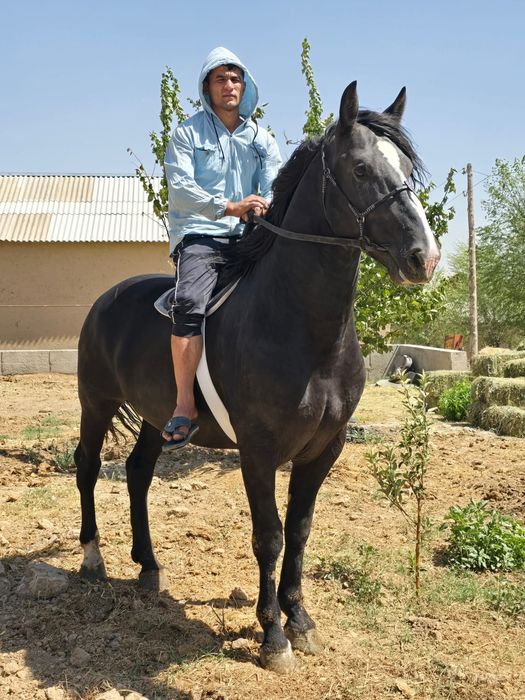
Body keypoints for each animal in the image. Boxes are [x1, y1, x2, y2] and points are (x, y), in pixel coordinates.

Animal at [74, 81, 440, 674]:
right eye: (361, 168)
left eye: (407, 165)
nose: (423, 258)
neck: (303, 329)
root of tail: (107, 298)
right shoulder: (259, 449)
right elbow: (269, 536)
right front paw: (273, 636)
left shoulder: (324, 449)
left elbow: (300, 530)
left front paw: (301, 621)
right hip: (95, 402)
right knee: (87, 467)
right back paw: (92, 557)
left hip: (156, 418)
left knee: (136, 474)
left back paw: (148, 566)